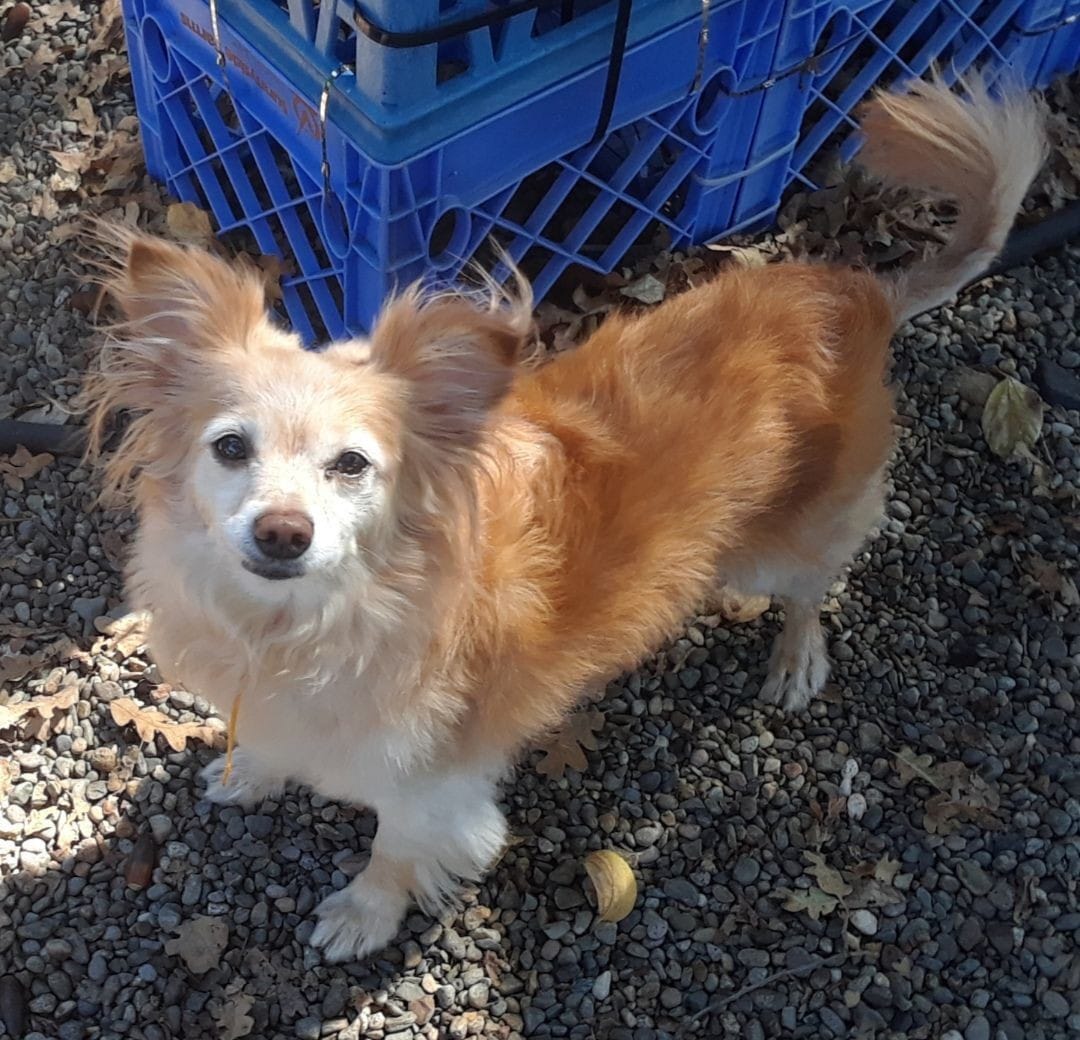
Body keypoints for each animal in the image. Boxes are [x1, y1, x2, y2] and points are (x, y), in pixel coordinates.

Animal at [82, 77, 1045, 963]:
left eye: (352, 465)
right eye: (230, 448)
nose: (284, 532)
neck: (302, 624)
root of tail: (855, 293)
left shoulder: (435, 784)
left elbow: (395, 850)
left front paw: (363, 914)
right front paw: (253, 771)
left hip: (788, 542)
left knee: (815, 587)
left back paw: (794, 658)